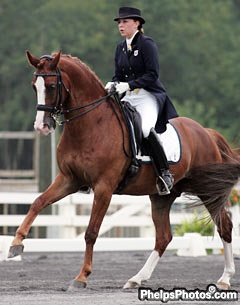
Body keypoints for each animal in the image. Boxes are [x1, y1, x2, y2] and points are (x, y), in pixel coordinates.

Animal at [8, 50, 239, 290]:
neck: (91, 125)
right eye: (34, 86)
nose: (41, 126)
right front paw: (16, 244)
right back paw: (137, 278)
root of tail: (206, 133)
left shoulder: (103, 188)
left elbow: (91, 232)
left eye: (52, 86)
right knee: (164, 237)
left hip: (208, 190)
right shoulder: (68, 179)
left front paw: (81, 277)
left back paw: (224, 279)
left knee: (224, 226)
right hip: (162, 196)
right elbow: (38, 202)